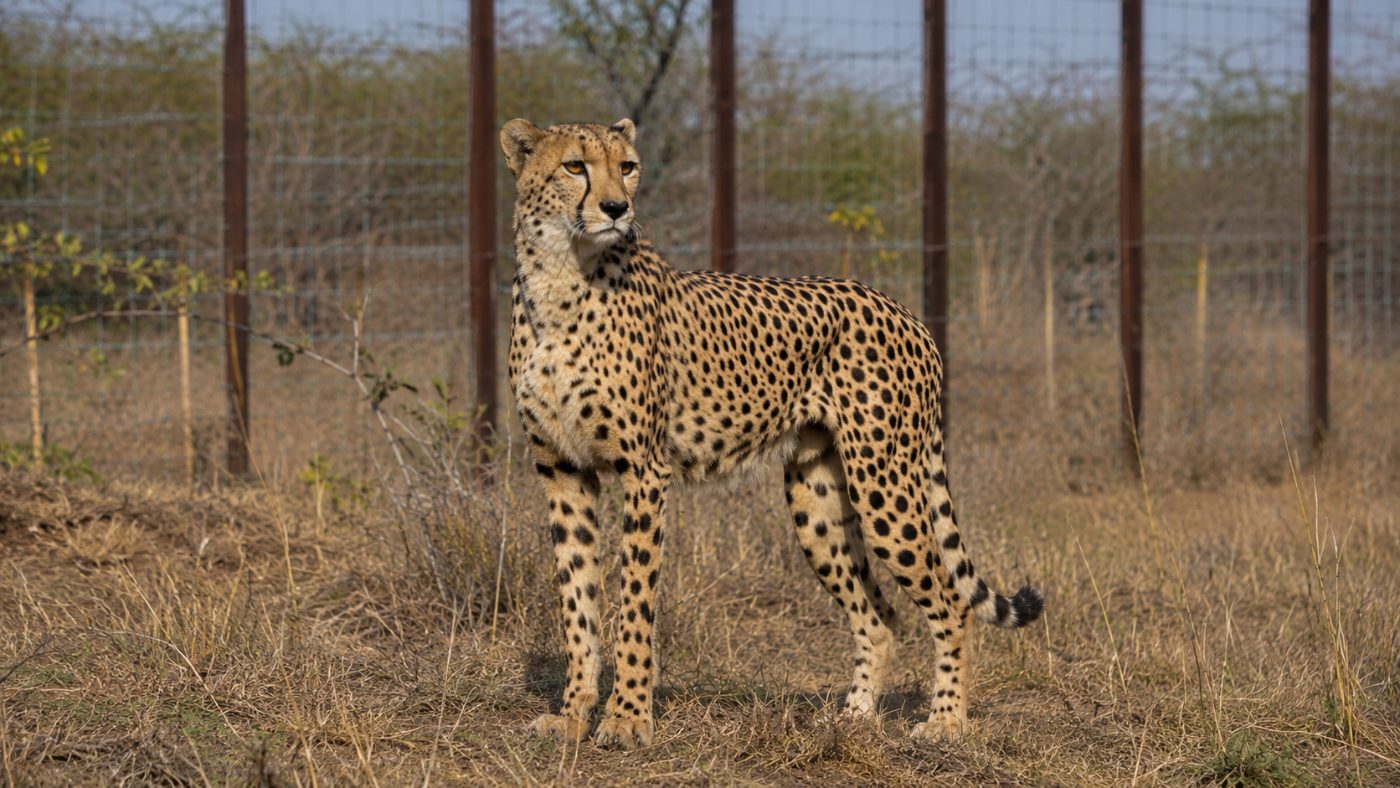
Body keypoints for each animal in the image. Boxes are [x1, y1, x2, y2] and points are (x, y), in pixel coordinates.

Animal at [500, 117, 1044, 750]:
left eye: (627, 166)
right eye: (574, 166)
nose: (617, 207)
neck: (561, 273)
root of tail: (903, 310)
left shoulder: (644, 470)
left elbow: (634, 601)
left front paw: (628, 718)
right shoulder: (562, 471)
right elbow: (577, 602)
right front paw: (570, 716)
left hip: (884, 484)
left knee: (950, 602)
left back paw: (946, 722)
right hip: (817, 497)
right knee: (879, 616)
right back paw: (853, 718)